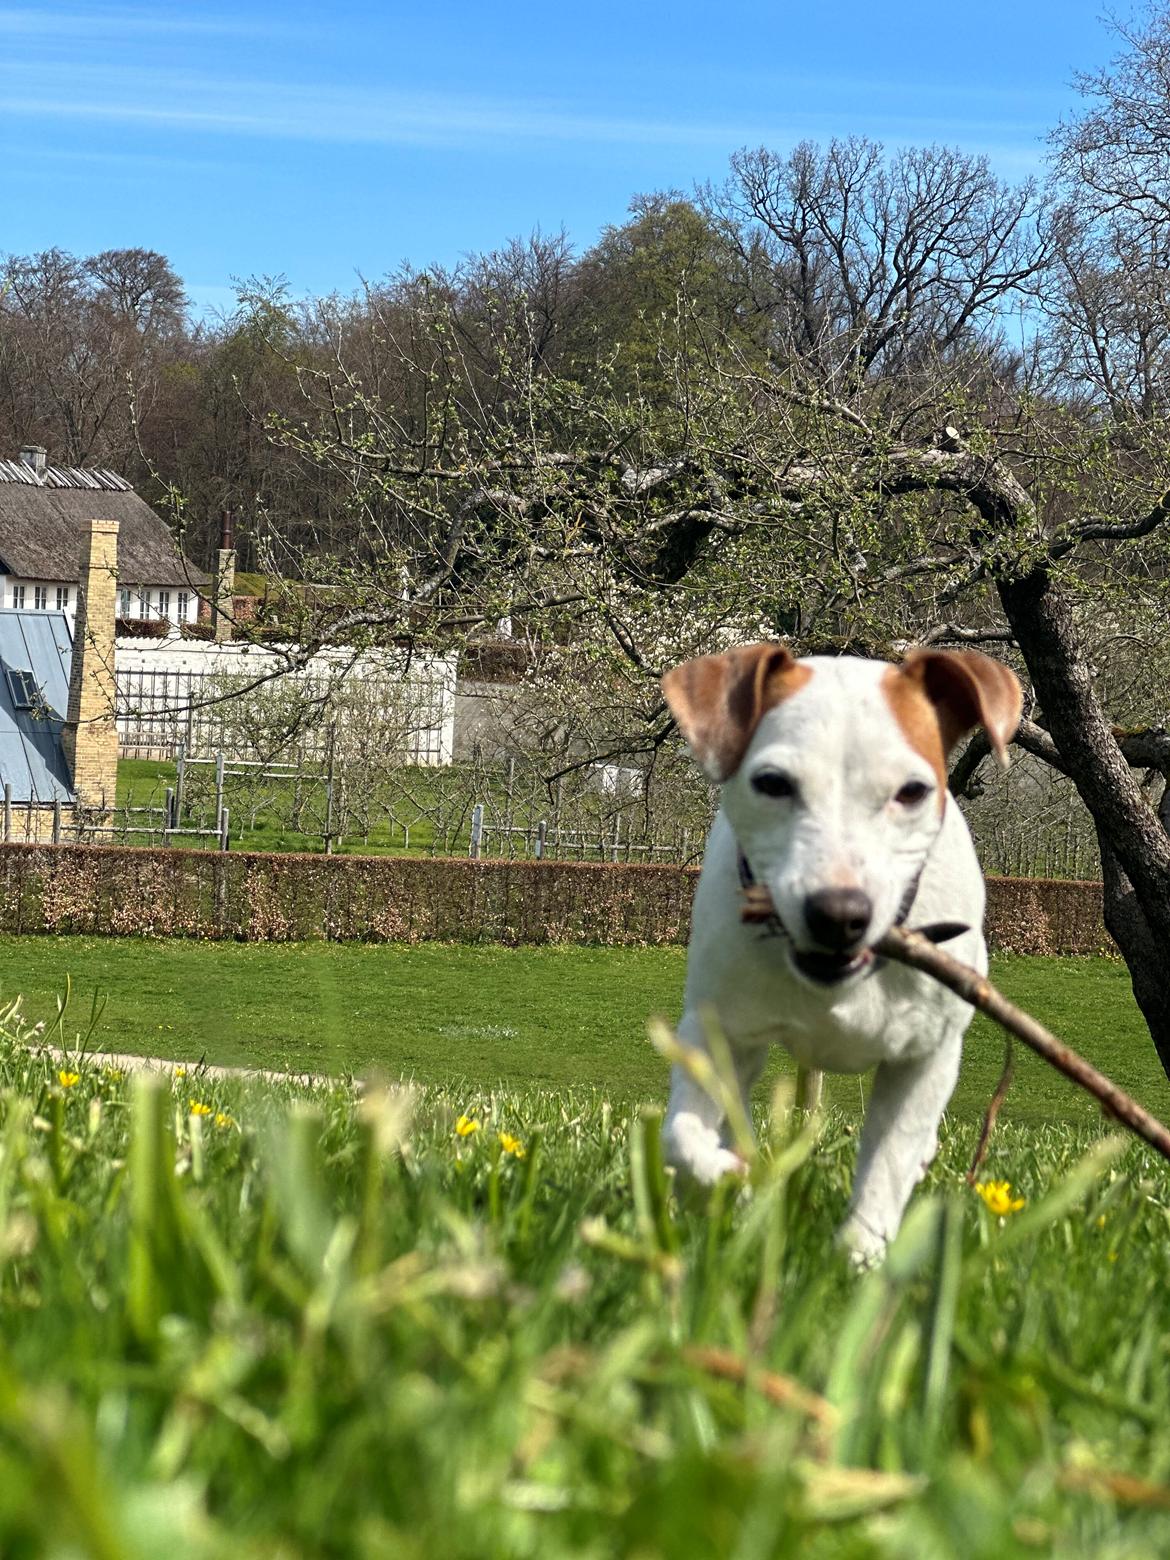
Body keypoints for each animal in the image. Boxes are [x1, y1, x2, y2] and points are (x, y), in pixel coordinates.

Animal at [664, 639, 1023, 1260]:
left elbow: (888, 1159)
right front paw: (723, 1177)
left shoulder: (924, 1055)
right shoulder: (719, 1030)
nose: (839, 914)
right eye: (773, 783)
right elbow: (682, 1138)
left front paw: (859, 1255)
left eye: (912, 791)